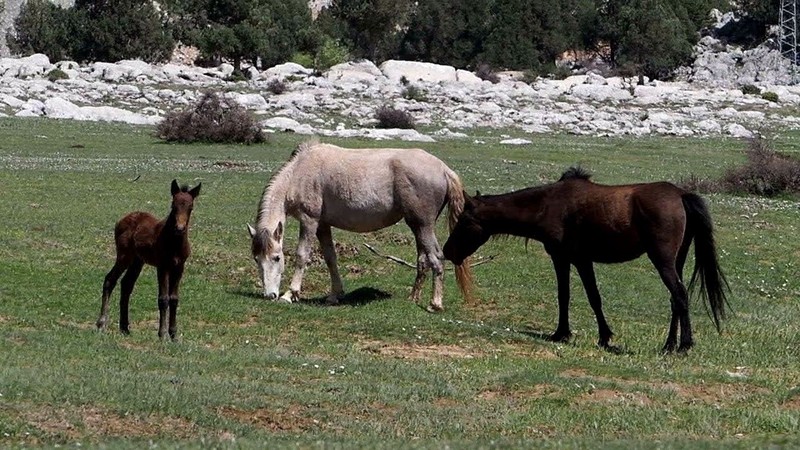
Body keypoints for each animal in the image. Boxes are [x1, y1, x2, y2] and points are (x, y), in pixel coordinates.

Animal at [96, 178, 200, 338]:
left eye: (191, 207)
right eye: (173, 206)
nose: (179, 228)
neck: (174, 242)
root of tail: (122, 219)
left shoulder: (179, 267)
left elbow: (174, 299)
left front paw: (174, 334)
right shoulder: (162, 266)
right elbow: (163, 299)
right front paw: (162, 334)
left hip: (137, 261)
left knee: (126, 284)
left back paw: (124, 328)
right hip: (124, 256)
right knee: (110, 280)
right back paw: (101, 324)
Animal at [247, 141, 472, 312]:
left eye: (277, 258)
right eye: (257, 259)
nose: (270, 295)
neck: (299, 172)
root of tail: (444, 169)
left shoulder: (309, 220)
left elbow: (302, 255)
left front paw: (290, 294)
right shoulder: (323, 225)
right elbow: (330, 258)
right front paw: (335, 295)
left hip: (423, 225)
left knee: (436, 258)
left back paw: (435, 304)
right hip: (417, 227)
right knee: (423, 259)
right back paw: (413, 298)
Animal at [444, 167, 732, 354]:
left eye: (464, 221)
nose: (447, 252)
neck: (547, 205)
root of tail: (681, 195)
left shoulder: (566, 258)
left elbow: (568, 295)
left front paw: (562, 334)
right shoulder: (582, 261)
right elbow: (592, 297)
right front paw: (603, 337)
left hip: (662, 262)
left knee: (680, 295)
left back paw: (683, 345)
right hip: (676, 262)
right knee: (676, 300)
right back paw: (669, 344)